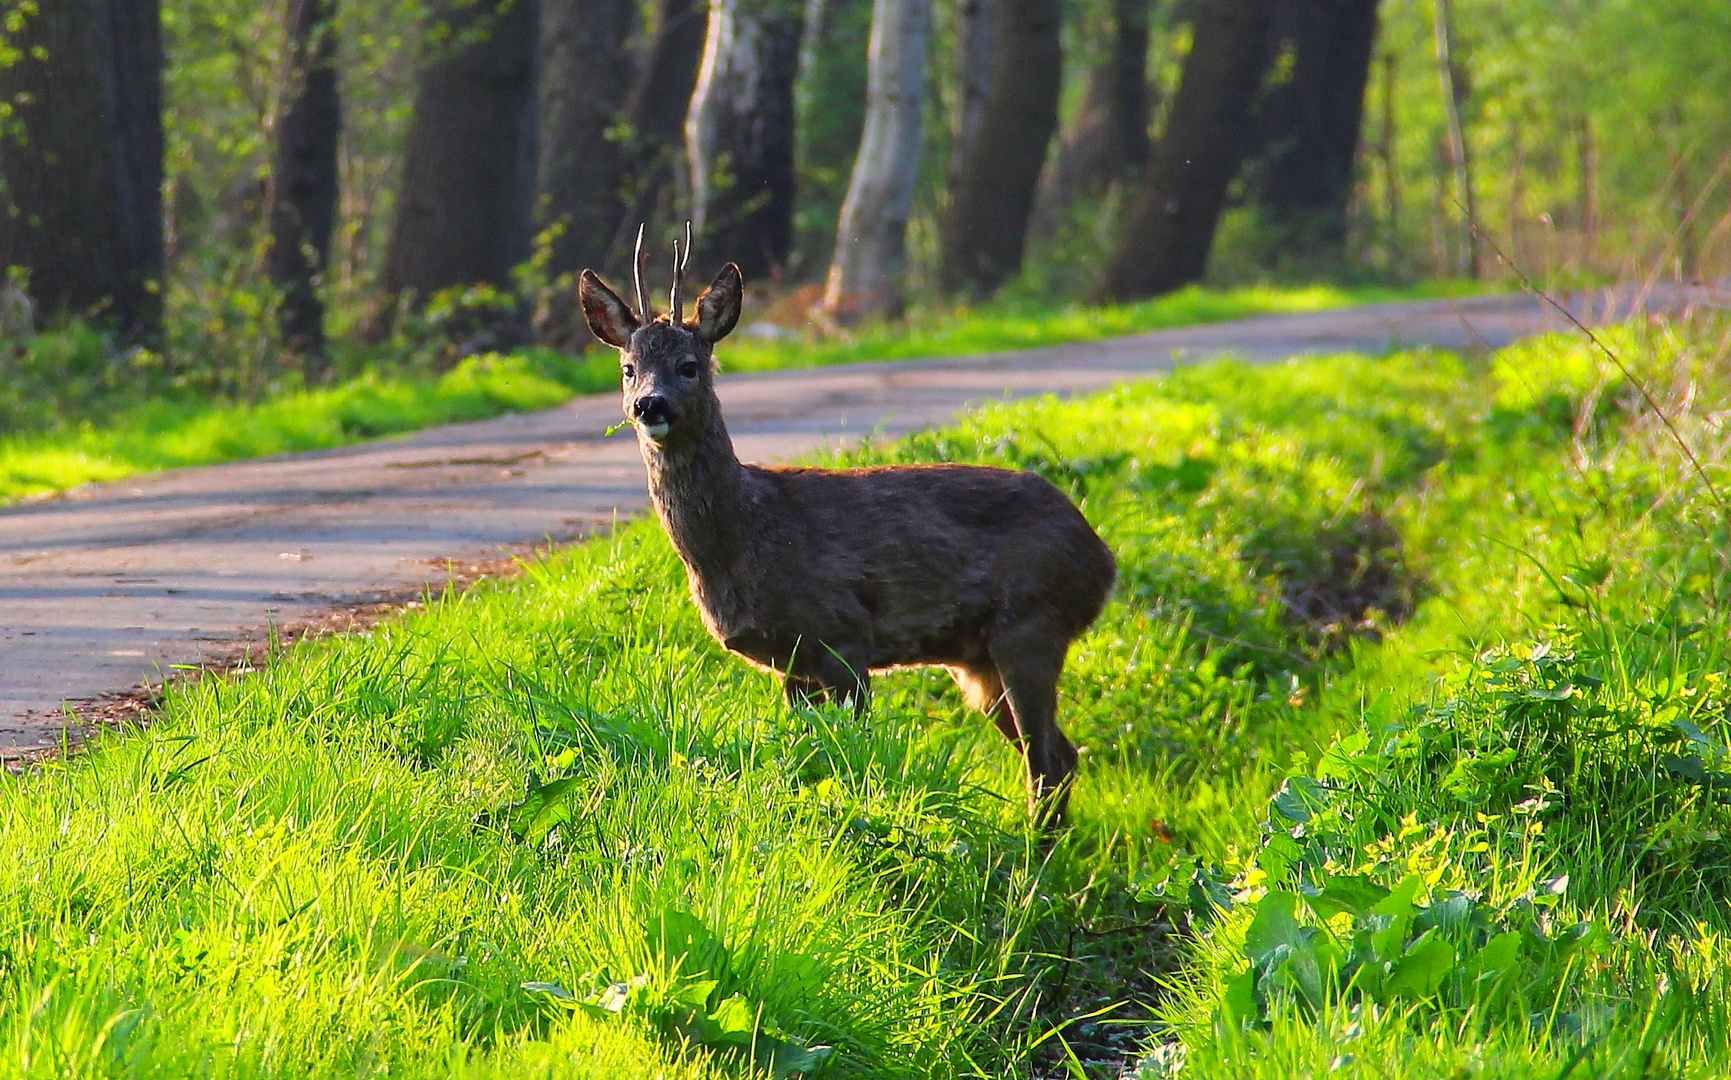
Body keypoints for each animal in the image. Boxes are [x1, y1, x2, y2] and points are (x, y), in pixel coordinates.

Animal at [581, 225, 1114, 816]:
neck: (742, 541)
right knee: (1061, 755)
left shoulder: (844, 634)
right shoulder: (791, 661)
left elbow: (853, 750)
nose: (650, 404)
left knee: (1047, 762)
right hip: (979, 658)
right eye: (628, 369)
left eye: (689, 366)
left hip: (1033, 620)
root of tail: (1102, 556)